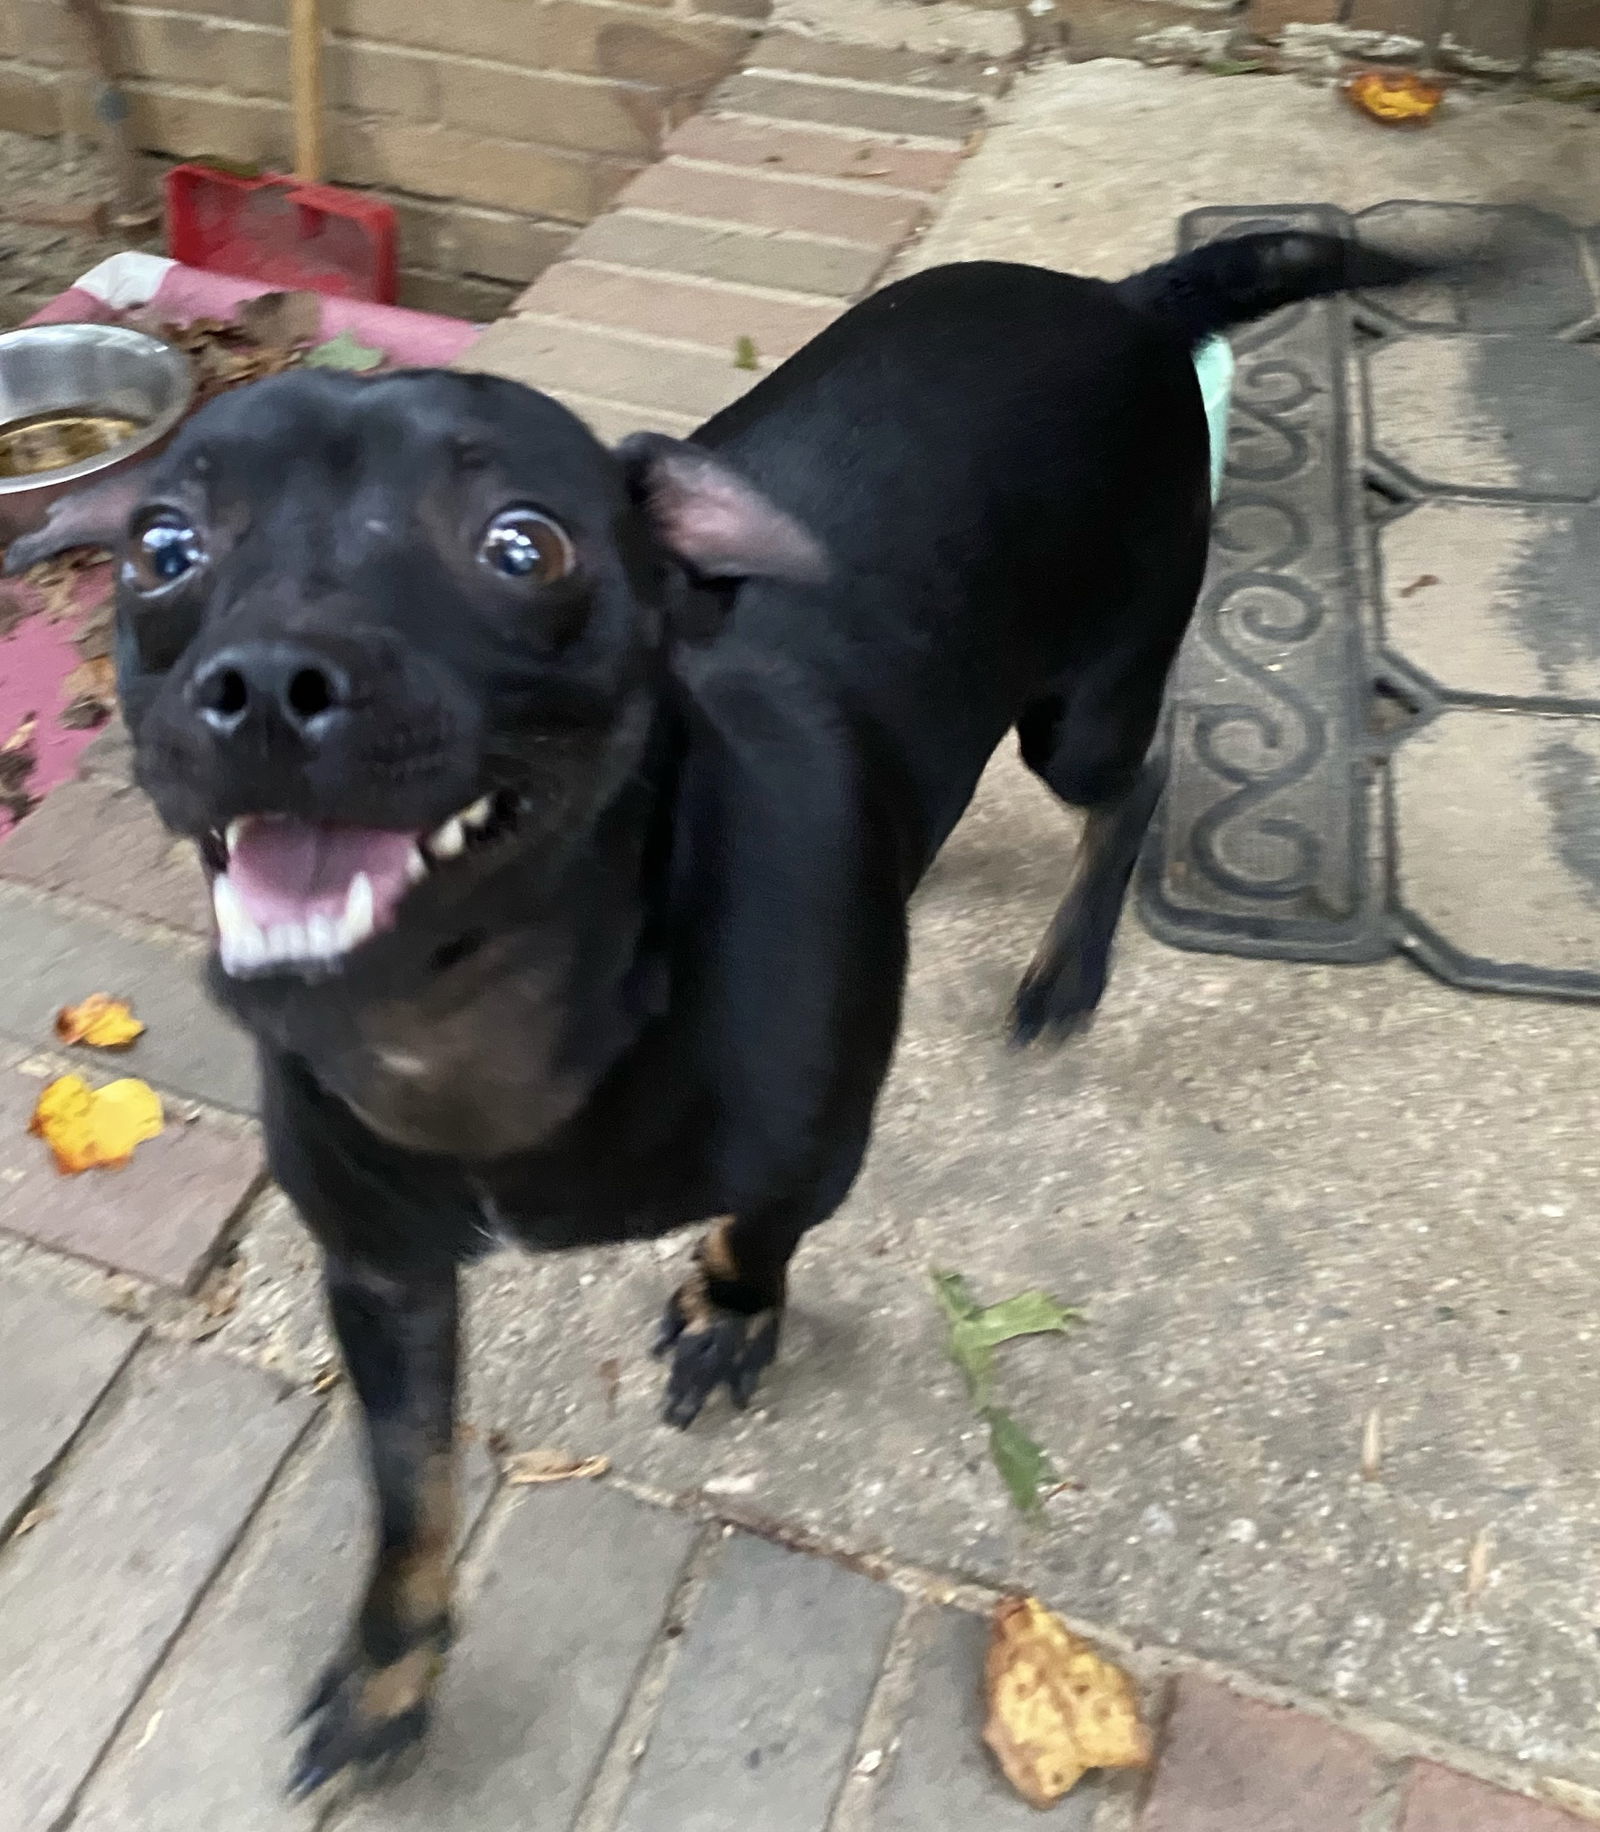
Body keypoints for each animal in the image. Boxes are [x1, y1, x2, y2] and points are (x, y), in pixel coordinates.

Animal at [12, 229, 1429, 1788]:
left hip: (1086, 712)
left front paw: (729, 1312)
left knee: (1145, 777)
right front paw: (391, 1676)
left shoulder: (815, 1152)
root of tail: (1120, 299)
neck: (473, 1028)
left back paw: (1069, 970)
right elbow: (409, 1502)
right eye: (163, 549)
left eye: (524, 544)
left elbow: (758, 1231)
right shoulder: (384, 1281)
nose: (263, 682)